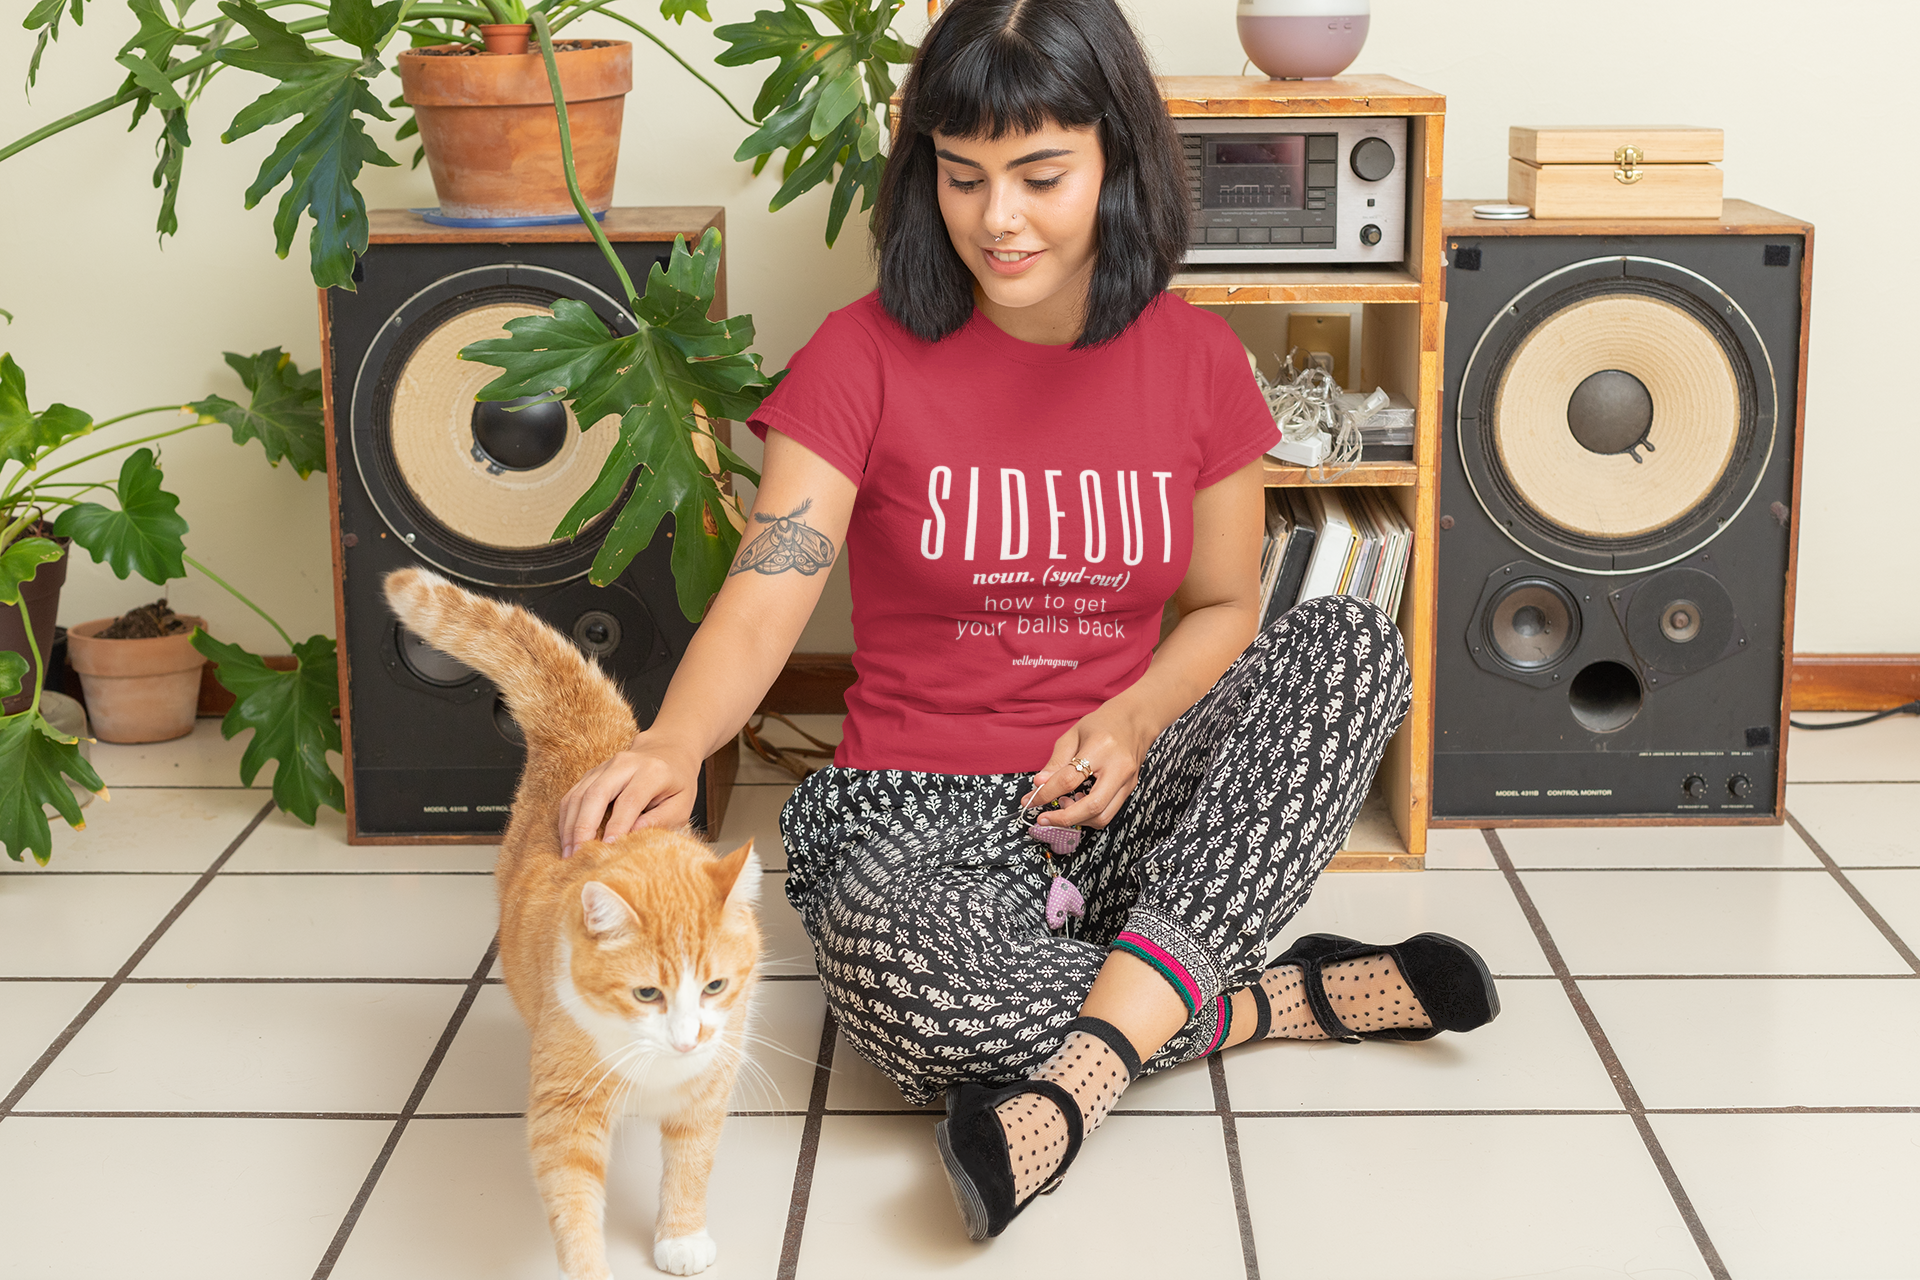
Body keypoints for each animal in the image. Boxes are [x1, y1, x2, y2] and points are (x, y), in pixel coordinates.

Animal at [382, 571, 756, 1280]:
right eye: (646, 993)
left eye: (716, 987)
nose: (687, 1039)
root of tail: (594, 741)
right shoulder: (567, 1108)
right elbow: (575, 1198)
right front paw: (590, 1268)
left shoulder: (706, 1089)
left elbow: (691, 1164)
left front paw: (680, 1235)